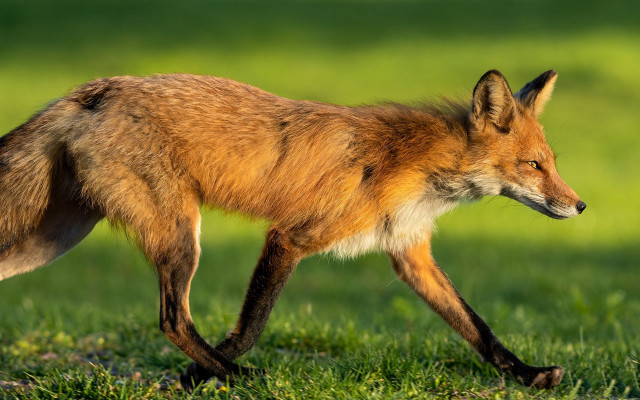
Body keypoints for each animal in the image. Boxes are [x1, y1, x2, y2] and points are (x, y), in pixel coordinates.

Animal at [0, 70, 585, 390]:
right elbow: (250, 327)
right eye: (534, 166)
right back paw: (239, 377)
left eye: (552, 162)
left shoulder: (409, 253)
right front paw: (204, 376)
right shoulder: (291, 236)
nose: (580, 206)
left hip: (52, 239)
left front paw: (529, 375)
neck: (416, 166)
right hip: (179, 236)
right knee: (172, 320)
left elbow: (479, 330)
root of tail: (95, 89)